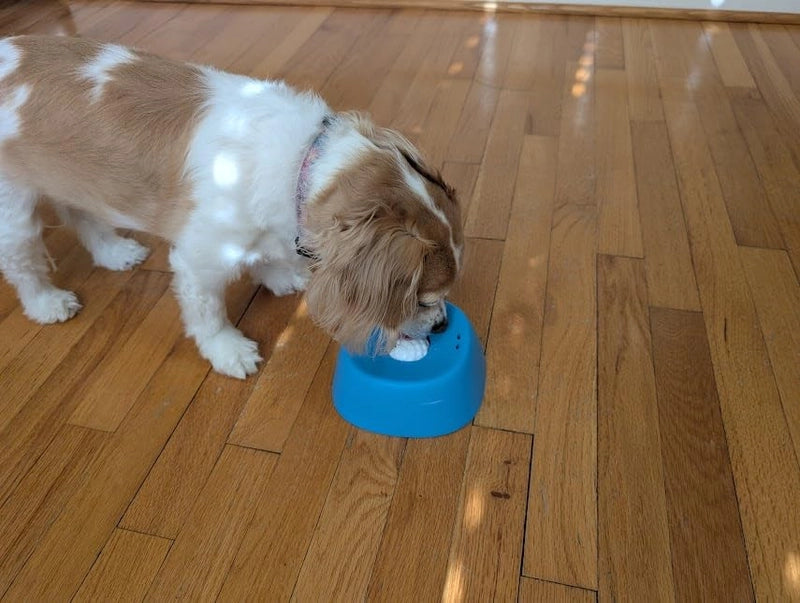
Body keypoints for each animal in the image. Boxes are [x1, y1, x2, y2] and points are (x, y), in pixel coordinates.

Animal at [0, 35, 463, 378]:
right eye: (422, 300)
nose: (443, 326)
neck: (302, 163)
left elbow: (262, 254)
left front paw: (278, 275)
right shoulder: (198, 262)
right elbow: (208, 313)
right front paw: (228, 351)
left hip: (74, 176)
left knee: (80, 214)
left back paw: (114, 252)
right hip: (15, 209)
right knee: (22, 262)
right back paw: (47, 303)